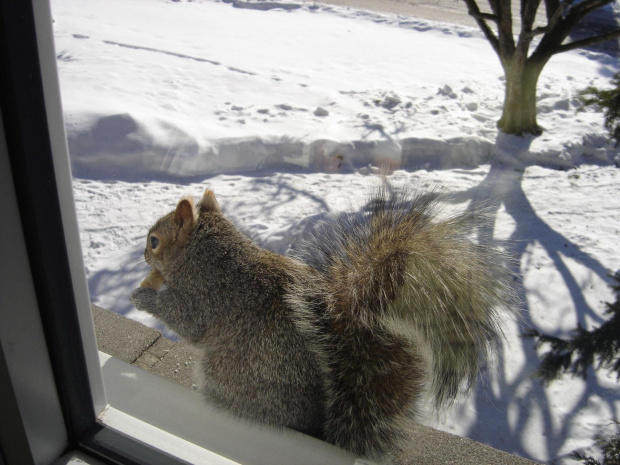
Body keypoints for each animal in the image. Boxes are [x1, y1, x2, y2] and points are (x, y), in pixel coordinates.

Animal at [131, 184, 520, 460]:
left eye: (155, 240)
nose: (143, 254)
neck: (207, 254)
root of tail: (317, 425)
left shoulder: (204, 296)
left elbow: (185, 320)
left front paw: (143, 297)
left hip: (231, 374)